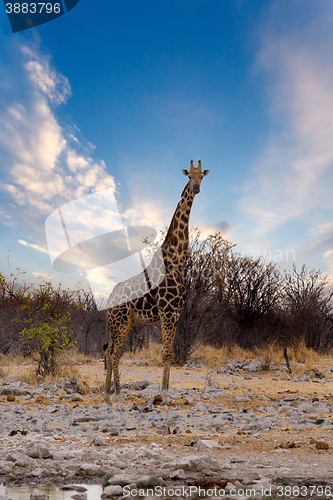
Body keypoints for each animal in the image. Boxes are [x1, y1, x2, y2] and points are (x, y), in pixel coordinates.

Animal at [102, 162, 209, 404]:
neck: (177, 263)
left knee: (109, 352)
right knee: (114, 353)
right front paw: (165, 395)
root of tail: (109, 300)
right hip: (119, 322)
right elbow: (166, 353)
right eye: (189, 176)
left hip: (125, 322)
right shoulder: (167, 311)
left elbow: (170, 352)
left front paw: (167, 393)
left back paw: (107, 395)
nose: (196, 188)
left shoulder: (176, 312)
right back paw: (118, 395)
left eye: (202, 176)